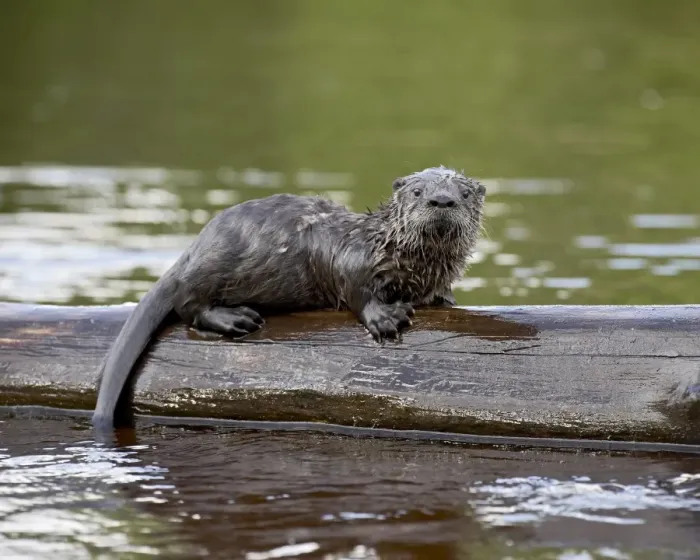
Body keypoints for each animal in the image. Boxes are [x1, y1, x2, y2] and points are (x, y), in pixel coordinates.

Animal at [93, 166, 486, 429]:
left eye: (464, 193)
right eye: (418, 192)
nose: (442, 199)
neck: (401, 255)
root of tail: (193, 249)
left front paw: (445, 298)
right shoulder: (354, 256)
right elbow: (357, 287)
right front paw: (385, 318)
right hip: (211, 267)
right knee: (187, 304)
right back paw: (234, 319)